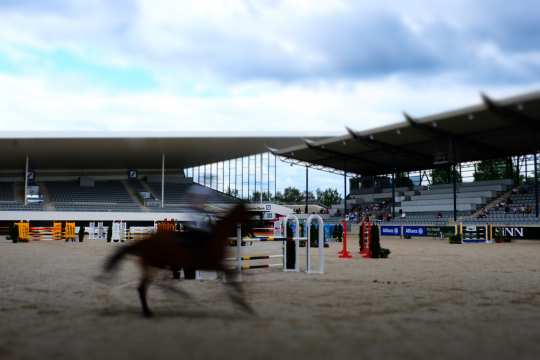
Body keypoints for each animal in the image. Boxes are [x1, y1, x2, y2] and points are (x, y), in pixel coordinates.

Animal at [102, 202, 253, 318]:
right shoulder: (213, 265)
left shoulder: (217, 265)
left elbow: (231, 277)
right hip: (155, 265)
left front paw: (242, 304)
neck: (215, 238)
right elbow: (232, 278)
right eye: (247, 213)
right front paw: (244, 304)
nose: (251, 230)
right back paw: (149, 311)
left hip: (157, 265)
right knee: (144, 287)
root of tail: (144, 242)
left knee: (151, 286)